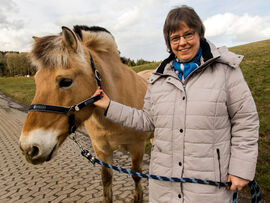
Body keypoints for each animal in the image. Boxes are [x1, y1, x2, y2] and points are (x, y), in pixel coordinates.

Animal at [19, 25, 152, 203]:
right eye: (36, 80)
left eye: (66, 81)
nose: (28, 148)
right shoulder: (102, 150)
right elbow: (106, 180)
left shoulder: (137, 148)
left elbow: (136, 176)